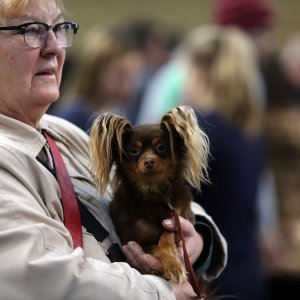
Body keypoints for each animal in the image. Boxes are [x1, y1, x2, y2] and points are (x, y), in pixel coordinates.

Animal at [90, 106, 210, 284]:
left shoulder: (179, 220)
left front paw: (173, 262)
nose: (149, 161)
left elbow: (167, 234)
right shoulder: (136, 242)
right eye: (133, 151)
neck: (154, 194)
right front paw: (173, 266)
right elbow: (158, 248)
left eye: (161, 147)